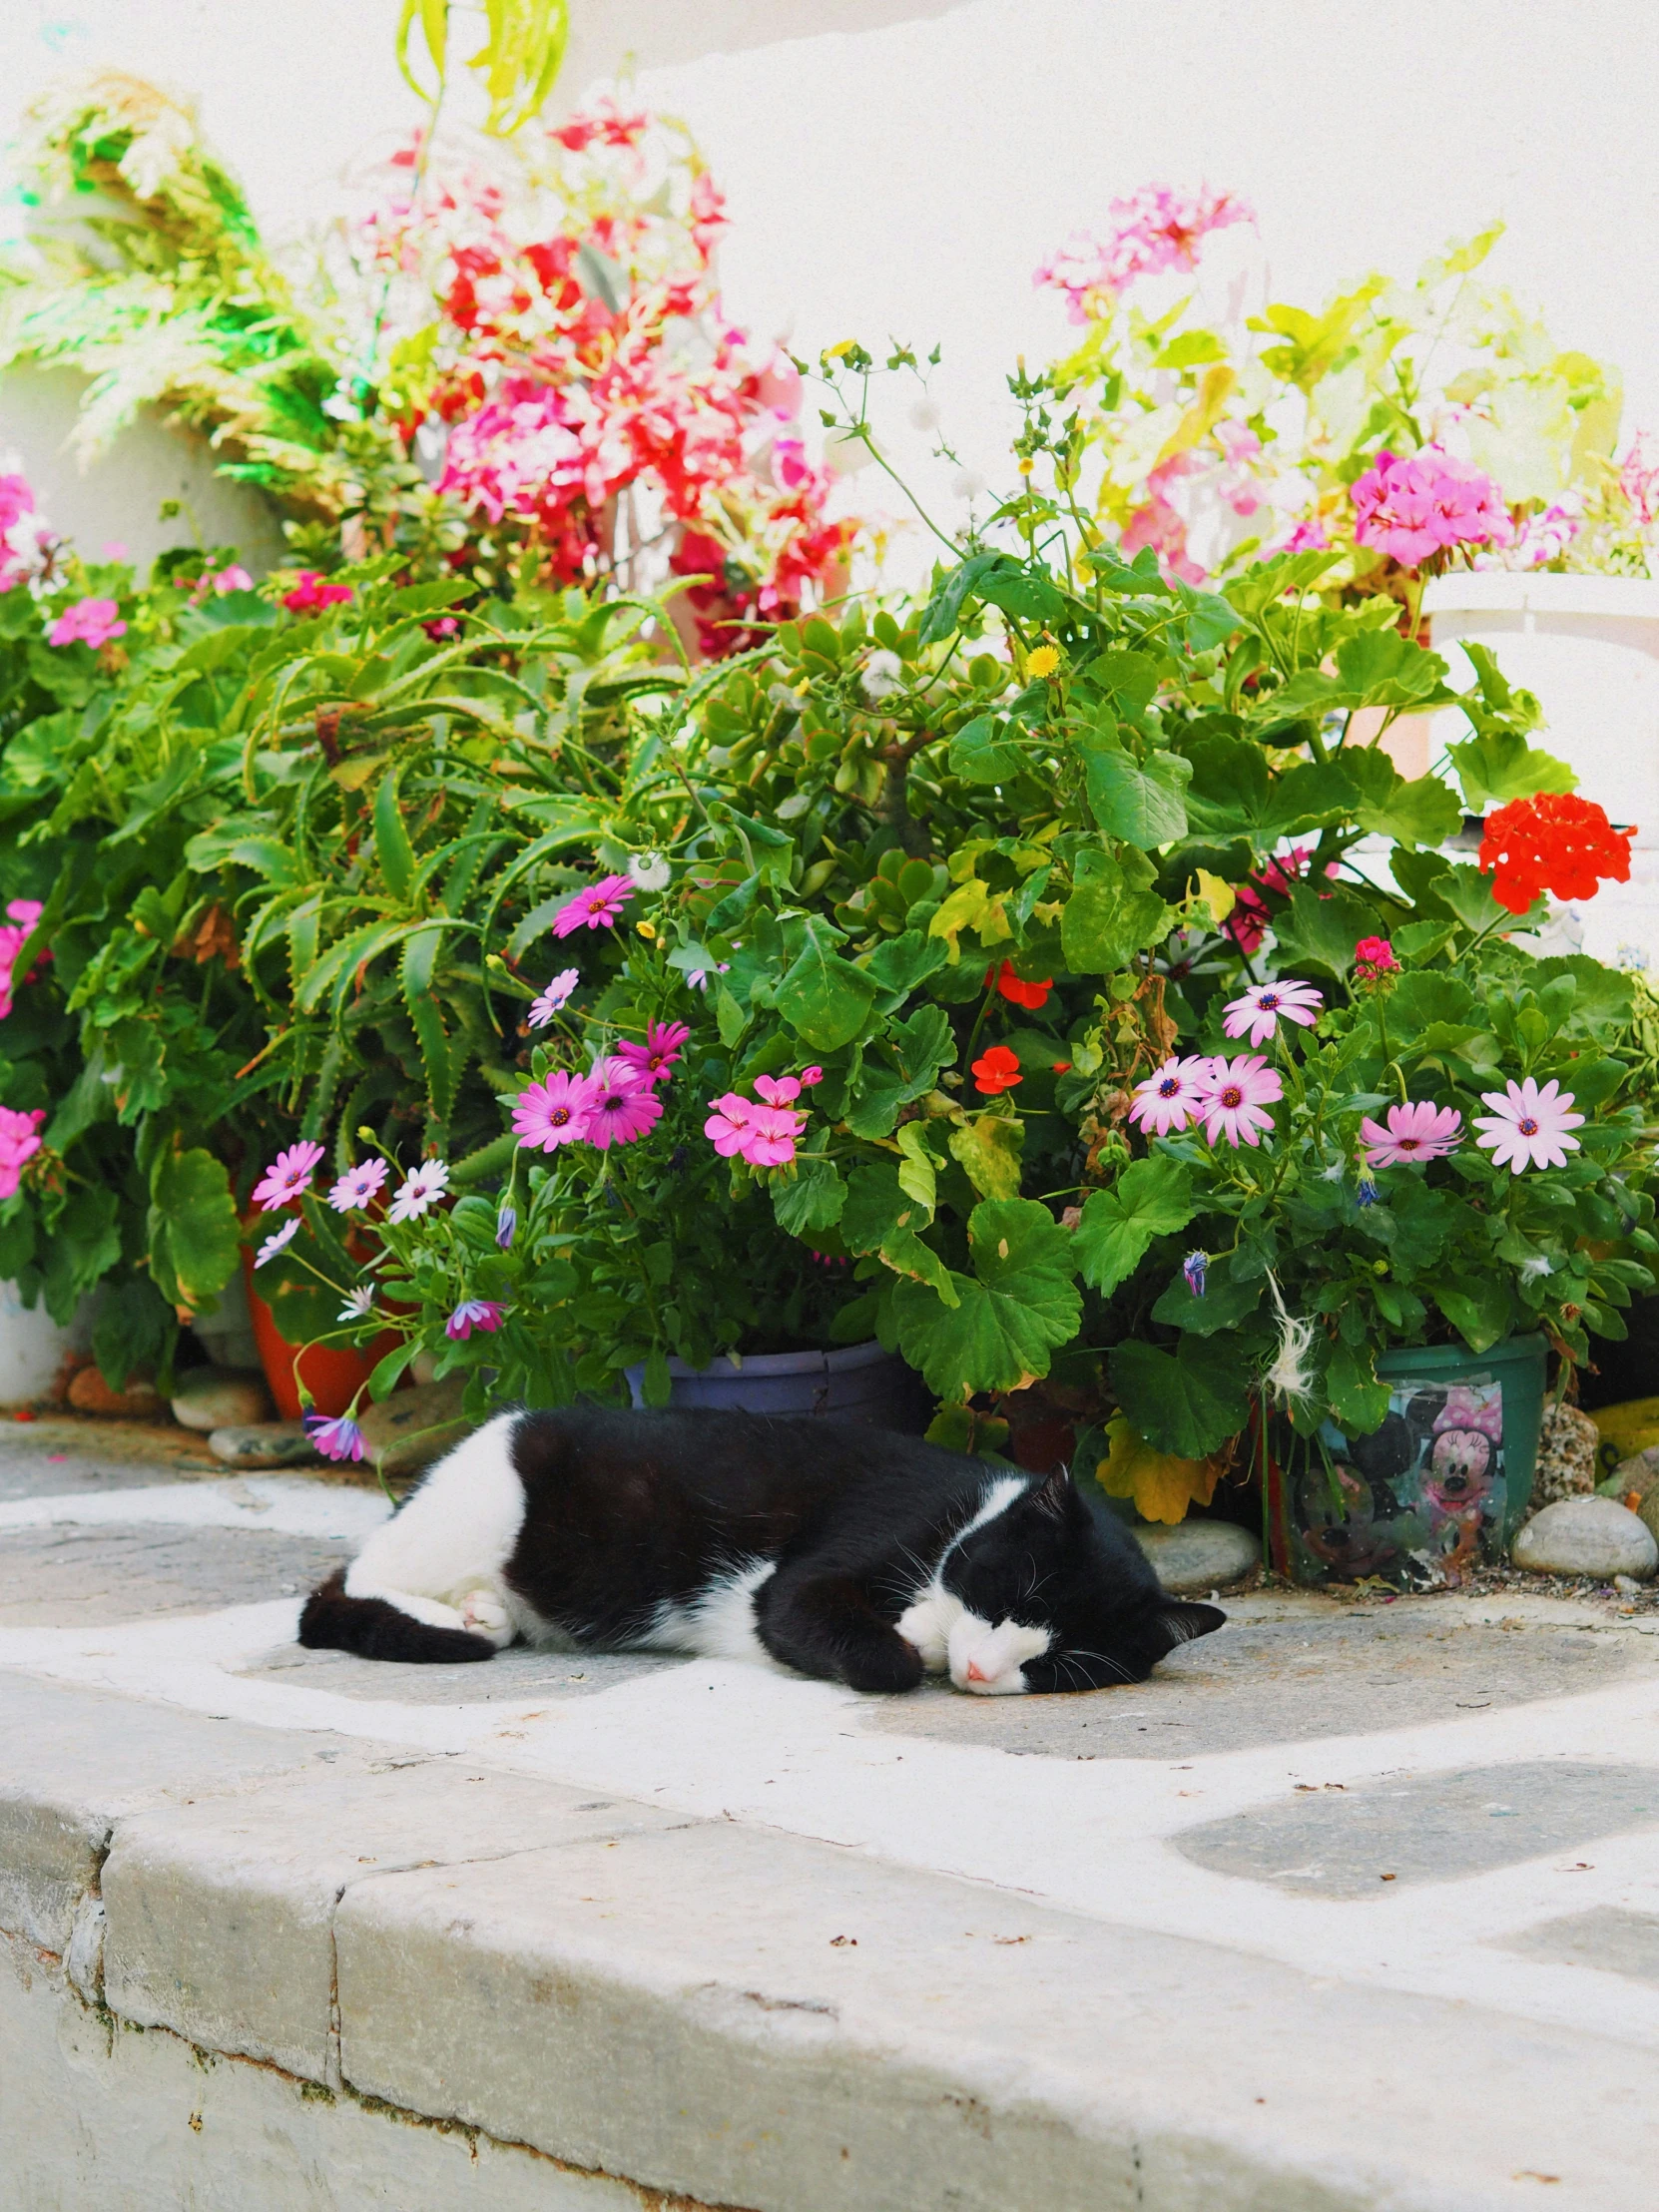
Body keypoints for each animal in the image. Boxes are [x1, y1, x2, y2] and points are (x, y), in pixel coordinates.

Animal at [302, 1406, 1238, 1698]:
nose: (981, 1672)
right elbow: (875, 1651)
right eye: (1014, 1598)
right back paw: (457, 1618)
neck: (964, 1514)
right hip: (489, 1504)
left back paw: (480, 1609)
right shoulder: (830, 1558)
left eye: (1060, 1663)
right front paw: (917, 1641)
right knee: (337, 1592)